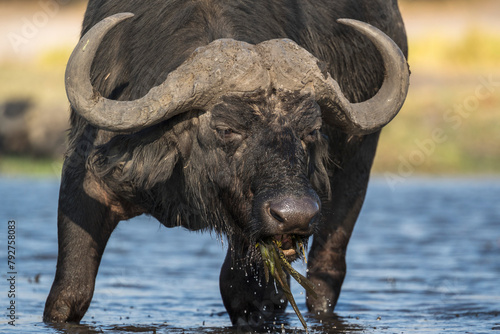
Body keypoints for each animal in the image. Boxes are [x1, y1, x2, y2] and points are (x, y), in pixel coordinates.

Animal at [44, 0, 410, 328]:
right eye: (227, 129)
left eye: (311, 130)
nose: (296, 214)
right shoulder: (88, 180)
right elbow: (69, 294)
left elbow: (245, 296)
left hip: (353, 175)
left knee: (324, 277)